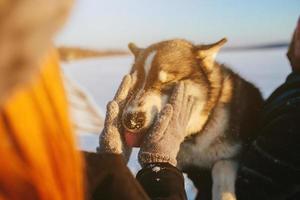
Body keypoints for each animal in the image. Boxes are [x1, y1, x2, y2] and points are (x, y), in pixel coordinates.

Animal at [122, 38, 262, 199]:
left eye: (167, 82)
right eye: (135, 82)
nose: (130, 120)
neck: (196, 135)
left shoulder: (230, 156)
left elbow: (221, 169)